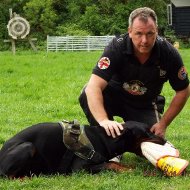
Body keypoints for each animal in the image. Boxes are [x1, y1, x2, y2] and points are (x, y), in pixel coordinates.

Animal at [0, 120, 165, 178]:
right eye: (147, 132)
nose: (164, 139)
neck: (105, 138)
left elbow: (117, 163)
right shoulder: (80, 168)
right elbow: (111, 165)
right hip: (28, 146)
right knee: (8, 176)